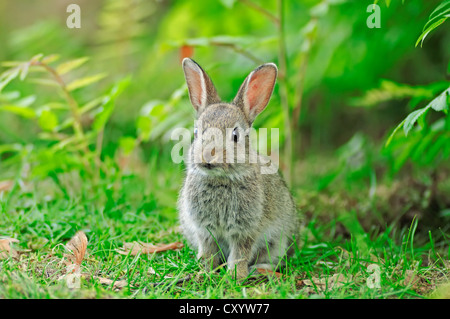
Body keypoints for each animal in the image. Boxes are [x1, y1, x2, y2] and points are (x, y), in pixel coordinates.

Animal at [178, 58, 300, 280]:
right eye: (197, 132)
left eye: (235, 136)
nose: (208, 157)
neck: (220, 179)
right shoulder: (204, 230)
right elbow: (208, 251)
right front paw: (204, 271)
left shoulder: (245, 230)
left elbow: (240, 252)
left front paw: (236, 275)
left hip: (278, 242)